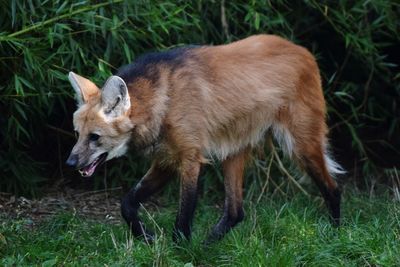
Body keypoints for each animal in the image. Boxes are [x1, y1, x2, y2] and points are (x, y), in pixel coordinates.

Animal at [65, 34, 344, 244]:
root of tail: (303, 50)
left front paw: (180, 249)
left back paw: (334, 233)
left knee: (333, 187)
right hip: (233, 148)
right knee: (235, 211)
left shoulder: (190, 158)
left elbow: (184, 215)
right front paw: (148, 238)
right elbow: (127, 203)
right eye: (78, 134)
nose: (70, 163)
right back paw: (207, 244)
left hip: (300, 145)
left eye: (95, 137)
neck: (163, 101)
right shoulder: (167, 158)